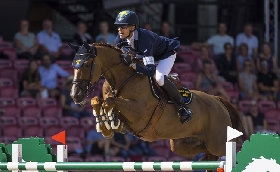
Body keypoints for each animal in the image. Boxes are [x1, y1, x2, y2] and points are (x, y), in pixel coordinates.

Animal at [69, 41, 242, 165]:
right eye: (73, 65)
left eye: (86, 64)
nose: (75, 96)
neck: (122, 79)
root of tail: (219, 101)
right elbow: (98, 100)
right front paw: (106, 125)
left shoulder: (138, 113)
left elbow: (109, 102)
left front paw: (108, 124)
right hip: (181, 145)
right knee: (208, 153)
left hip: (218, 143)